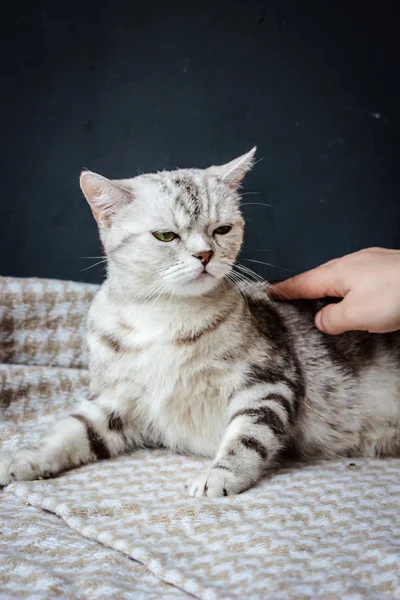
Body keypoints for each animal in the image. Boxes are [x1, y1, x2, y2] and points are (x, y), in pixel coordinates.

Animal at [0, 150, 400, 496]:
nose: (204, 254)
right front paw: (26, 457)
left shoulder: (268, 380)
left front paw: (220, 474)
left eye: (221, 230)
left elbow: (248, 436)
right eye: (166, 235)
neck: (162, 319)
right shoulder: (116, 402)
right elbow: (72, 431)